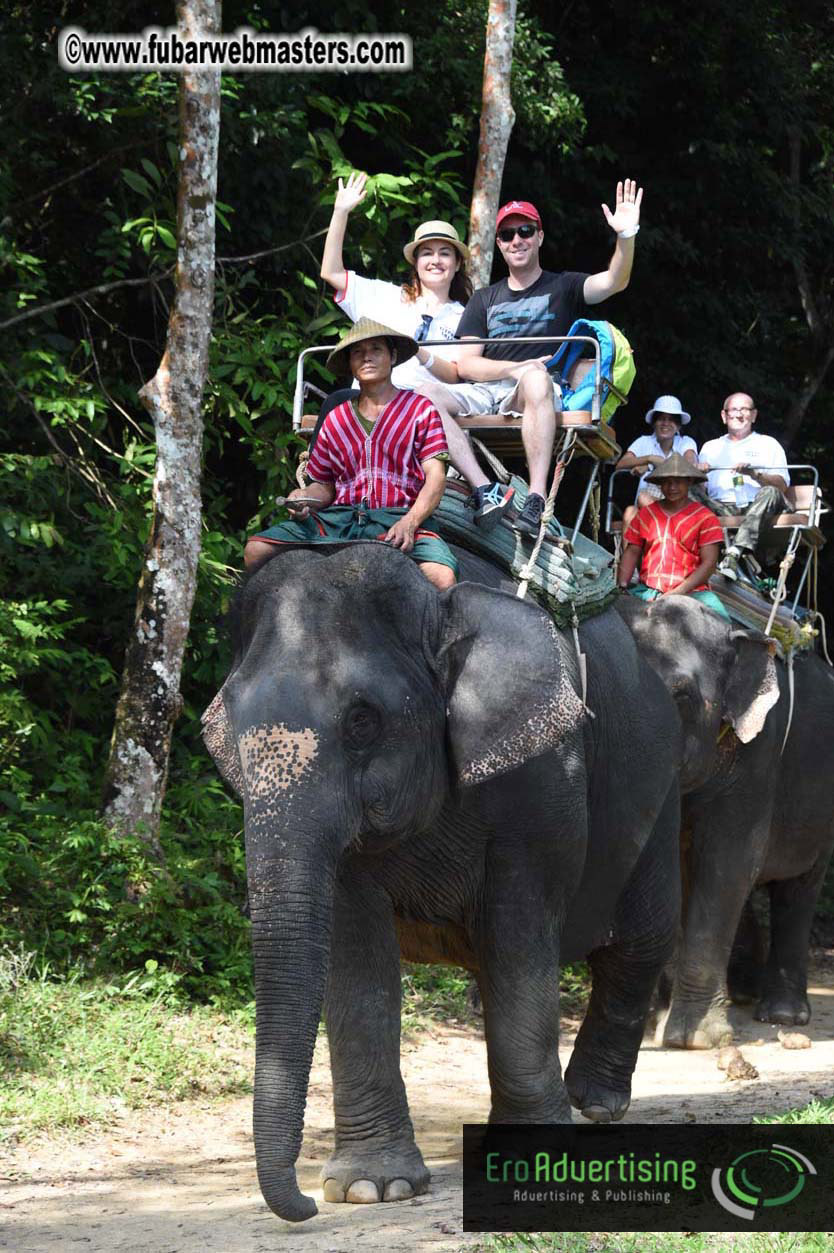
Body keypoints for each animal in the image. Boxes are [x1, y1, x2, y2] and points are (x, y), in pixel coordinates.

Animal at [202, 540, 684, 1223]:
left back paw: (593, 1102)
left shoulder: (545, 776)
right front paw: (371, 1189)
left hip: (662, 780)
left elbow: (518, 935)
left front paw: (532, 1160)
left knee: (639, 941)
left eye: (362, 721)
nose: (305, 1205)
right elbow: (357, 959)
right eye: (225, 727)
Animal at [616, 593, 834, 1048]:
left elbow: (726, 865)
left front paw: (693, 1040)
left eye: (680, 696)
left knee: (798, 886)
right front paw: (653, 1031)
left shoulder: (757, 753)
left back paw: (782, 1015)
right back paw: (745, 993)